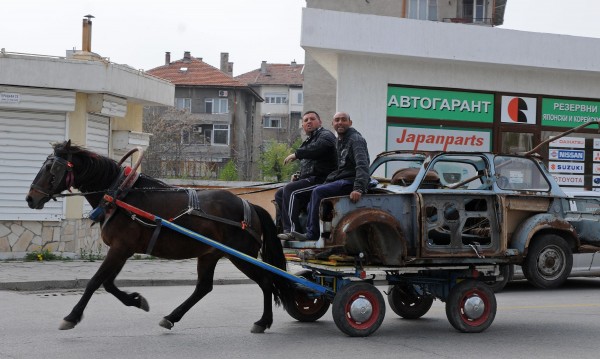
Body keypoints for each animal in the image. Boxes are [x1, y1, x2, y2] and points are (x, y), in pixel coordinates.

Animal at [25, 141, 296, 334]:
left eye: (52, 168)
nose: (30, 198)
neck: (121, 194)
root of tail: (248, 204)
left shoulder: (120, 249)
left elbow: (95, 282)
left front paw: (71, 317)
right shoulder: (123, 250)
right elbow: (108, 284)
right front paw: (136, 300)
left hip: (241, 255)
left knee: (266, 281)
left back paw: (263, 321)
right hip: (210, 254)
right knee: (204, 287)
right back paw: (171, 317)